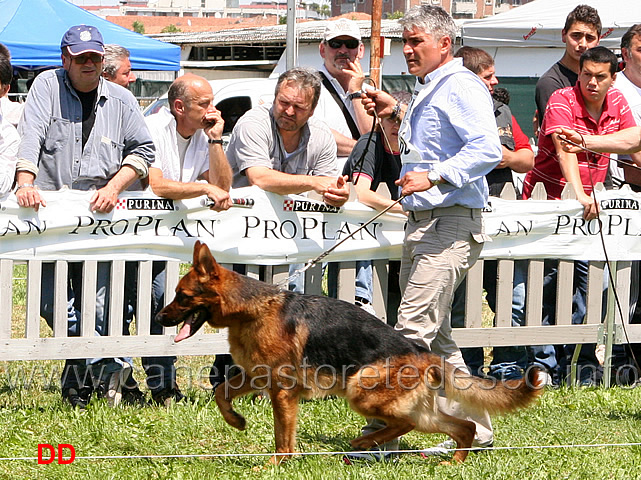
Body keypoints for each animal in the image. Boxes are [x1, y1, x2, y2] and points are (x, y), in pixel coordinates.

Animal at [155, 242, 540, 464]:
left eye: (182, 296)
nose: (159, 318)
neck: (252, 308)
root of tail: (421, 352)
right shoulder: (257, 377)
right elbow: (222, 392)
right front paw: (237, 421)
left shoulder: (283, 392)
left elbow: (282, 439)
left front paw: (276, 466)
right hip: (418, 410)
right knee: (462, 426)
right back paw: (453, 461)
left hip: (360, 391)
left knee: (405, 423)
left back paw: (365, 440)